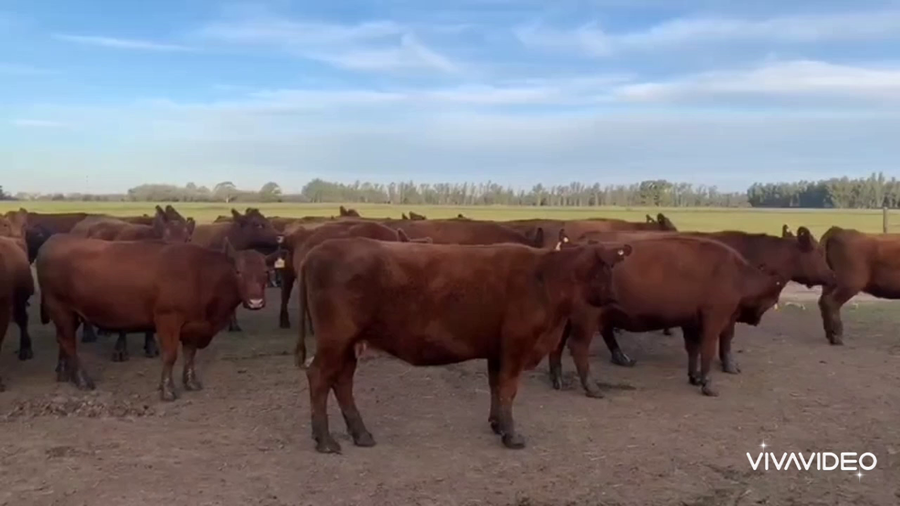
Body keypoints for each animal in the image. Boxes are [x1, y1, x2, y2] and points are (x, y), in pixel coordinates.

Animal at [36, 235, 268, 400]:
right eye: (238, 272)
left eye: (266, 272)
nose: (256, 302)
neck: (201, 274)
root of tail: (54, 240)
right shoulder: (168, 319)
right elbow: (170, 355)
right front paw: (167, 390)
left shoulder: (194, 326)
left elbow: (190, 354)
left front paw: (190, 382)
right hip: (61, 309)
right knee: (68, 343)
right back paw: (82, 380)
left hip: (69, 314)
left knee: (63, 340)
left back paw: (64, 373)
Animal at [298, 235, 631, 453]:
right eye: (608, 269)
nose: (617, 299)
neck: (545, 278)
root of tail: (317, 251)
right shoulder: (516, 345)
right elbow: (508, 388)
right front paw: (512, 436)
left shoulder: (497, 349)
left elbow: (496, 386)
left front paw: (497, 424)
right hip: (335, 340)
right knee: (319, 377)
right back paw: (324, 440)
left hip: (348, 344)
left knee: (342, 381)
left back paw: (361, 434)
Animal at [548, 234, 786, 398]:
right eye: (773, 297)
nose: (757, 320)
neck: (736, 274)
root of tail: (571, 247)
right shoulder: (714, 320)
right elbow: (707, 350)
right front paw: (708, 385)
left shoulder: (691, 322)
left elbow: (693, 348)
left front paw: (694, 377)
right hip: (587, 319)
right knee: (578, 347)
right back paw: (592, 388)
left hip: (567, 319)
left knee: (557, 345)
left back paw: (558, 381)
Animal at [580, 227, 834, 370]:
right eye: (819, 252)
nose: (832, 275)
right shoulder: (728, 311)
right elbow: (727, 337)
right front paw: (728, 364)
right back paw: (619, 356)